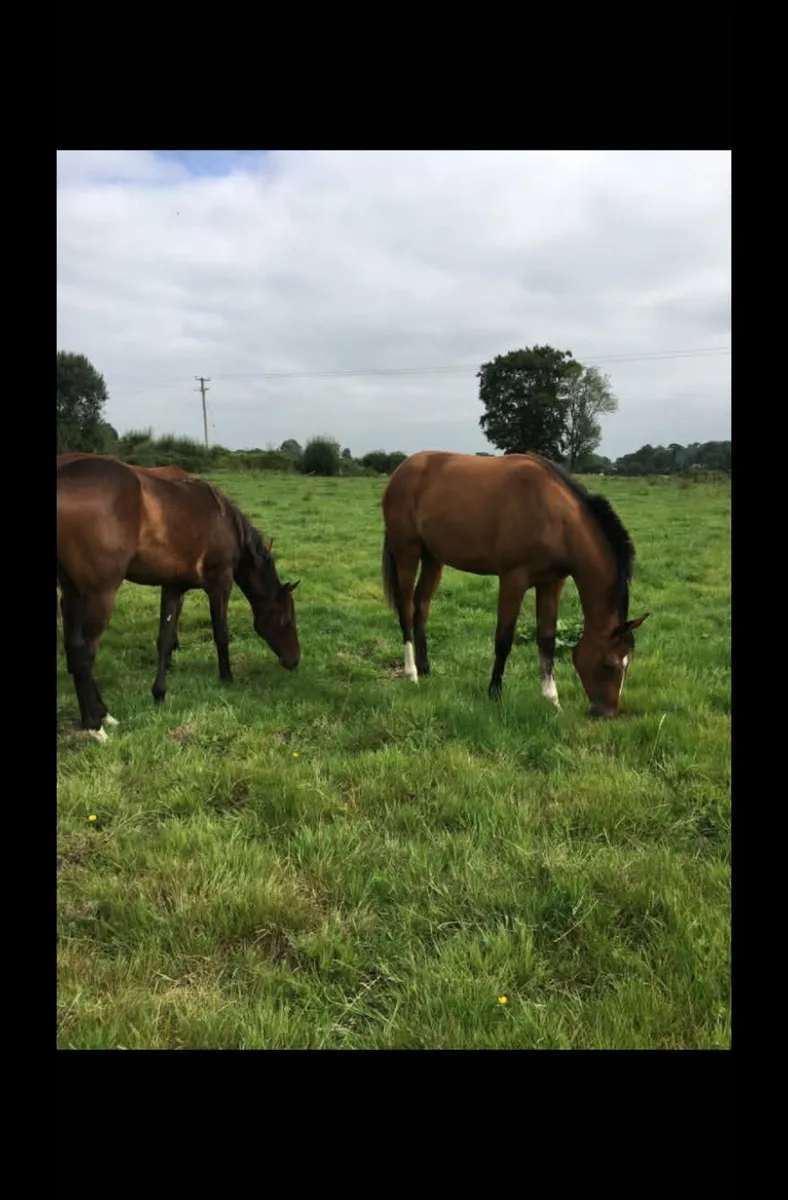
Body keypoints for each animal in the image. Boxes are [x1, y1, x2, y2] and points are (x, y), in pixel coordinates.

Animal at [57, 454, 300, 742]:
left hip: (73, 592)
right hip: (98, 595)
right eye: (287, 621)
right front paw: (227, 678)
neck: (226, 522)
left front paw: (159, 693)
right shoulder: (220, 584)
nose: (294, 660)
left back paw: (104, 714)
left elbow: (165, 639)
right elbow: (221, 634)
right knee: (83, 654)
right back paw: (95, 724)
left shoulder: (173, 587)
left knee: (73, 649)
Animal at [381, 450, 649, 718]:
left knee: (421, 605)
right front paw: (494, 693)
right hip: (407, 552)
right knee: (406, 607)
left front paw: (551, 699)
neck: (554, 517)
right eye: (610, 664)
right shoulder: (513, 579)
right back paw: (412, 673)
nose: (607, 713)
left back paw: (425, 668)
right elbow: (504, 639)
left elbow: (547, 638)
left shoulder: (552, 583)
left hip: (433, 558)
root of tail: (402, 470)